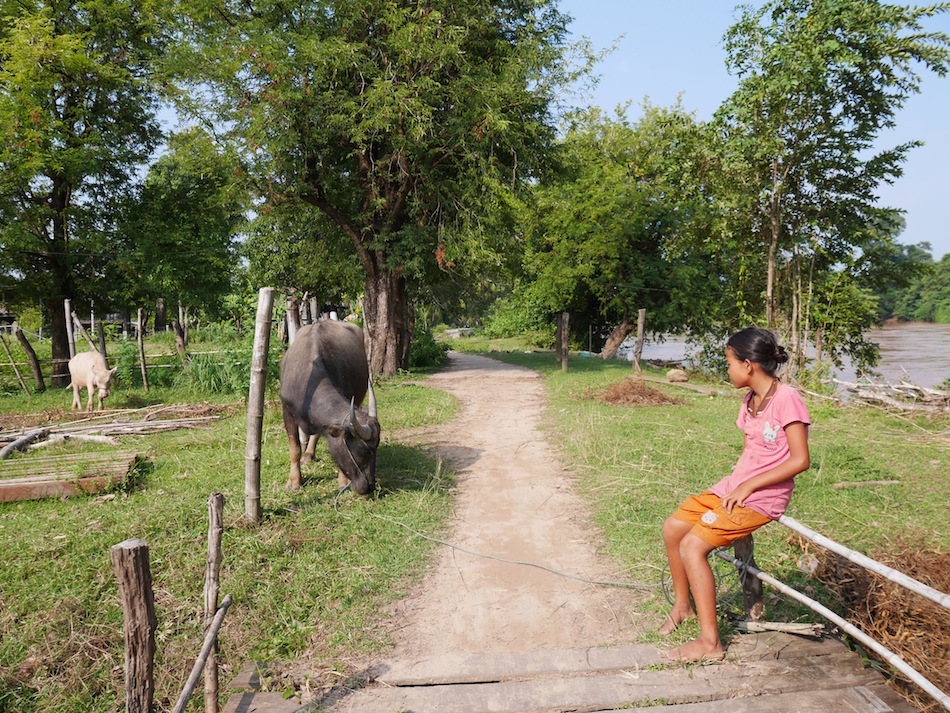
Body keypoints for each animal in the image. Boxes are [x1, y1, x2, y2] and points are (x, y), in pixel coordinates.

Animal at [278, 322, 380, 496]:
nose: (370, 486)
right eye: (364, 450)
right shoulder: (287, 411)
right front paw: (294, 482)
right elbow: (295, 448)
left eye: (376, 449)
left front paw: (343, 481)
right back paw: (308, 456)